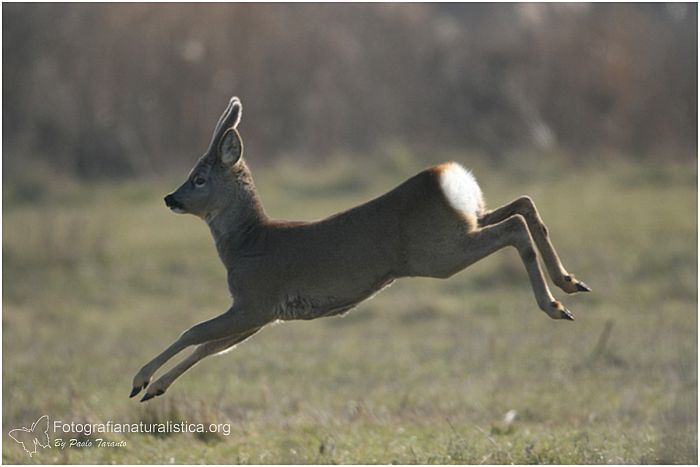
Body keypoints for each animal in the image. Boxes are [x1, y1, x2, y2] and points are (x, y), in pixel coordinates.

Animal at [130, 96, 592, 402]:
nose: (170, 198)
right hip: (467, 223)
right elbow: (210, 346)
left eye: (199, 178)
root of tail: (449, 177)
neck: (247, 243)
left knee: (514, 227)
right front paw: (155, 388)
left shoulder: (255, 300)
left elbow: (195, 332)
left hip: (438, 252)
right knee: (523, 205)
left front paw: (139, 380)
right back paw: (570, 283)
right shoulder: (264, 314)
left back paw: (556, 304)